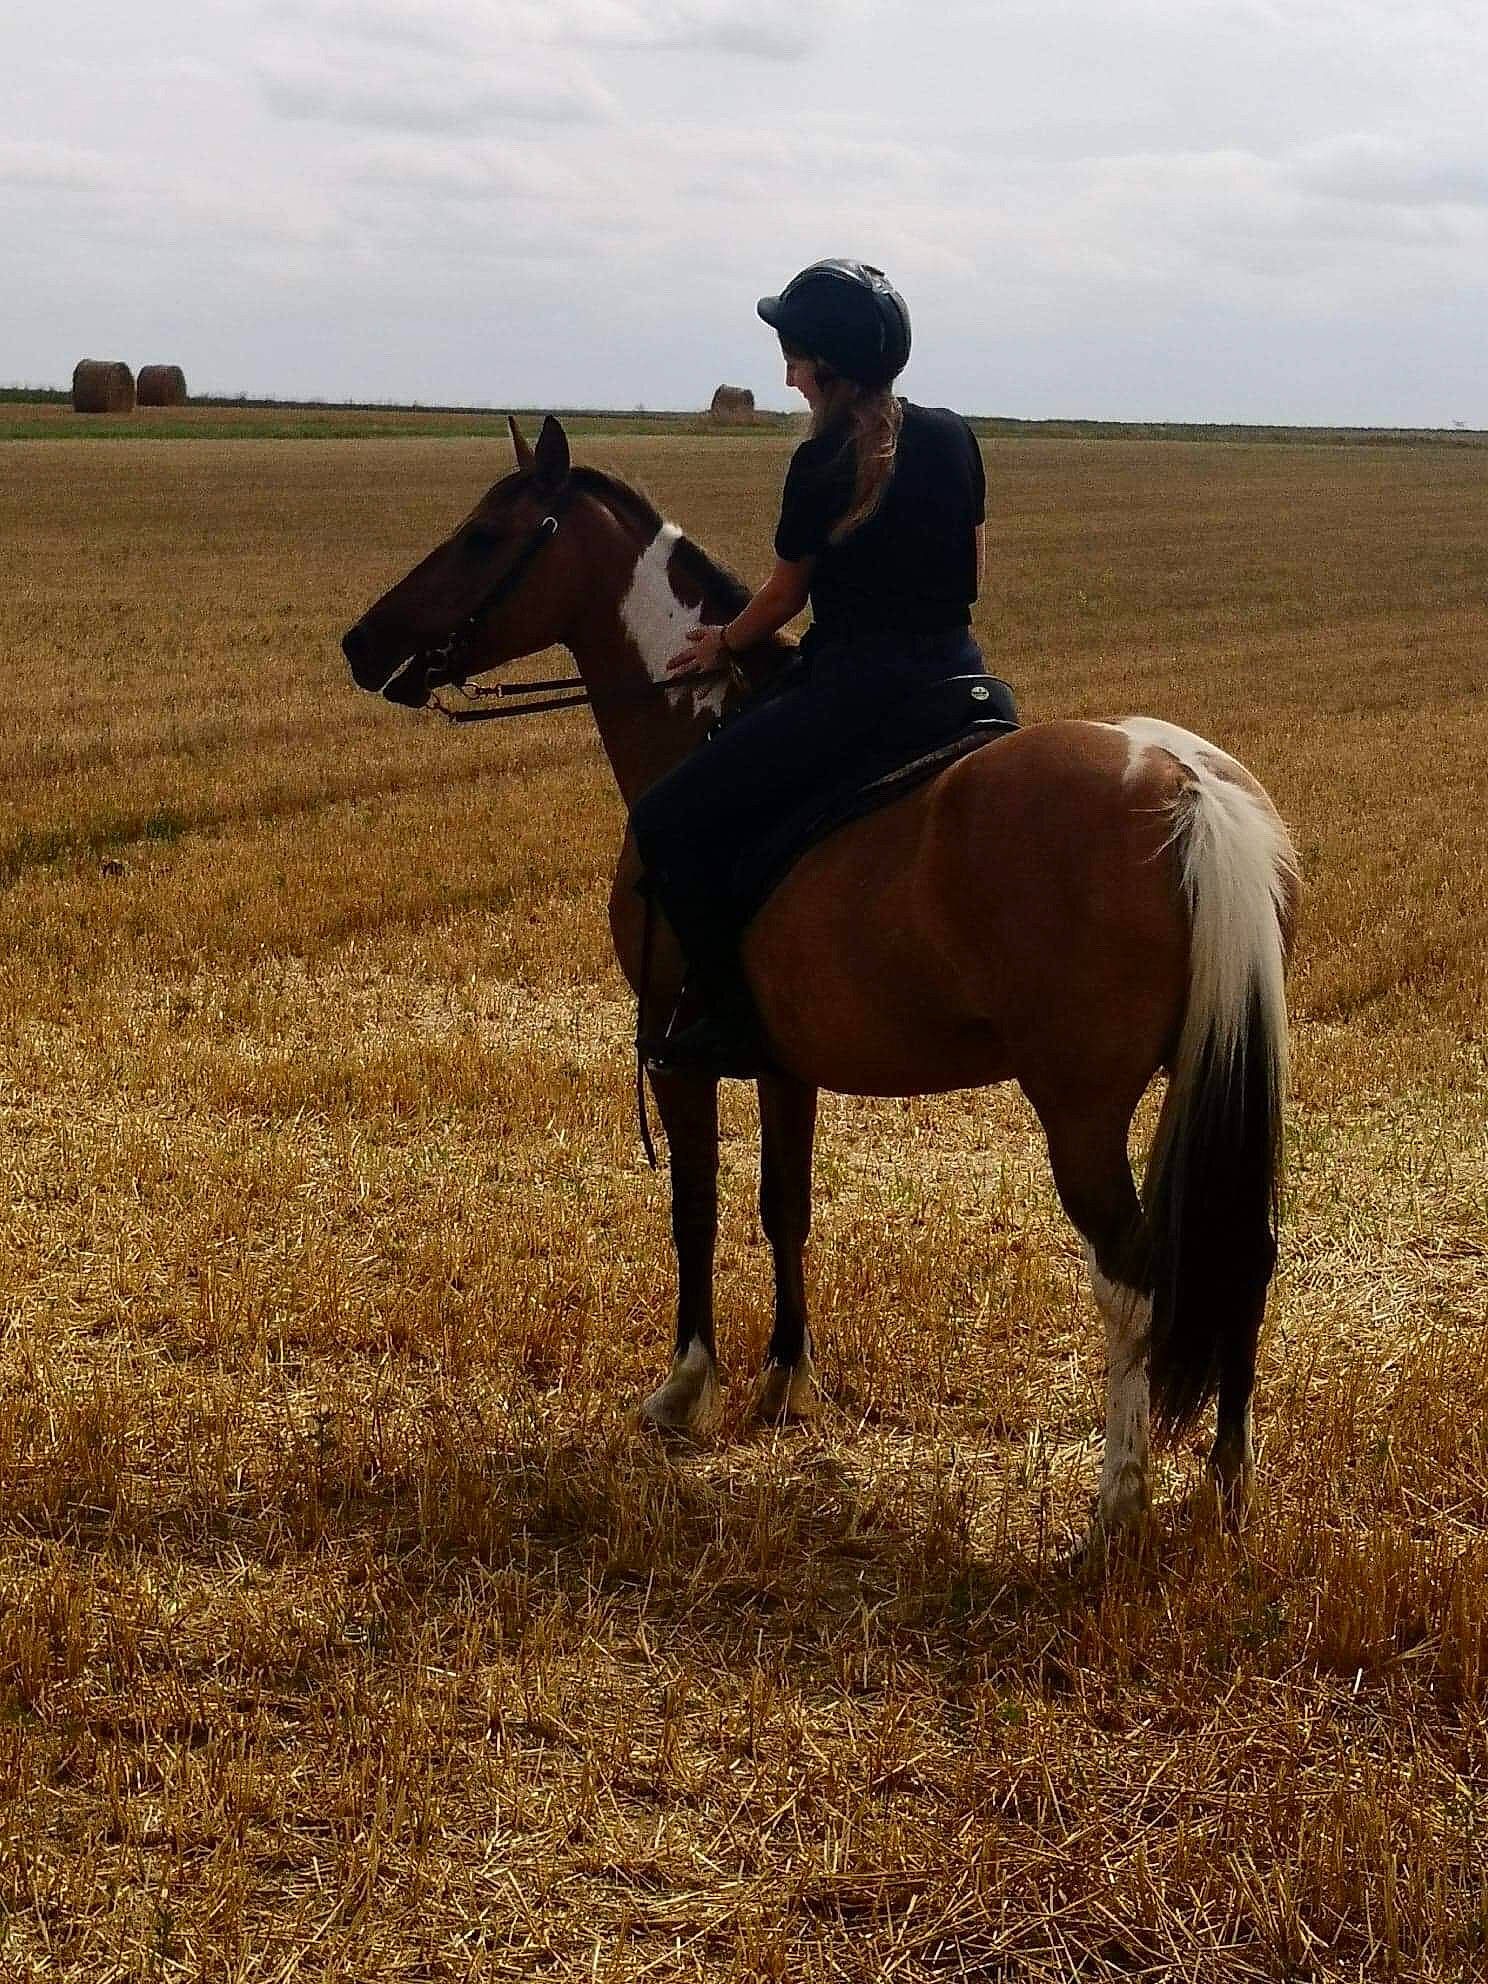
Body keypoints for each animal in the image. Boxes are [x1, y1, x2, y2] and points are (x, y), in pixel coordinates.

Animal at [341, 415, 1300, 1546]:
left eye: (485, 535)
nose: (361, 643)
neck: (700, 716)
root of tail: (1186, 784)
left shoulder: (677, 1053)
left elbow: (699, 1209)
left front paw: (687, 1388)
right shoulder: (785, 1062)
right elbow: (783, 1206)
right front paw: (788, 1379)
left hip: (1079, 1111)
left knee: (1133, 1278)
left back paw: (1118, 1495)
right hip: (1206, 1076)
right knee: (1245, 1251)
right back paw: (1228, 1480)